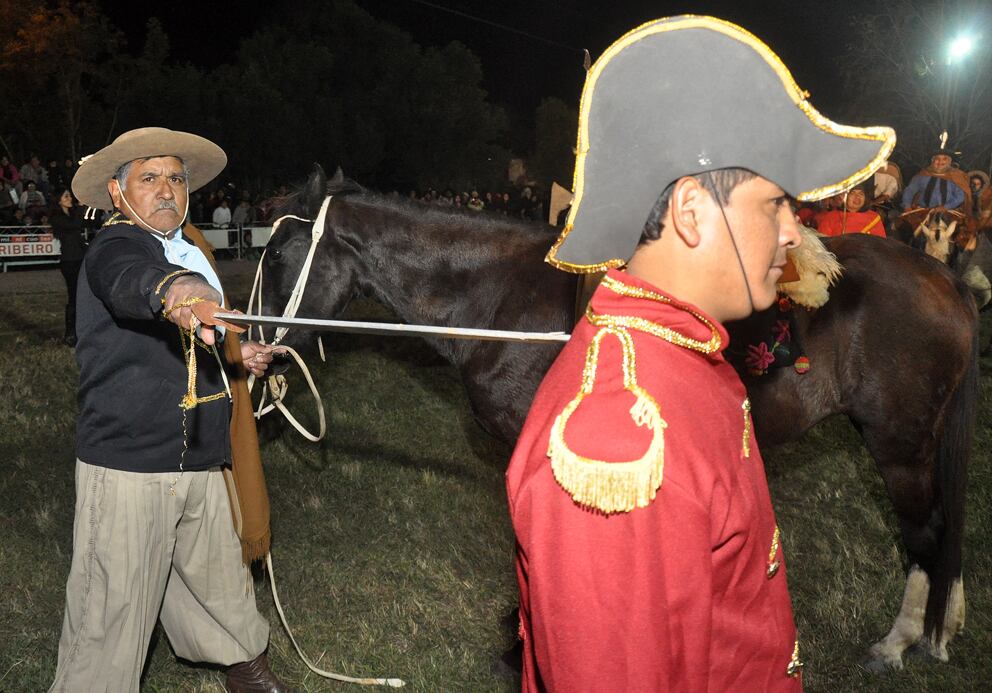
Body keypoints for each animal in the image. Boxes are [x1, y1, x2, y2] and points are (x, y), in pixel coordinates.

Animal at [258, 168, 976, 672]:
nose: (254, 345)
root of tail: (942, 277)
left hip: (898, 442)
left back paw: (899, 641)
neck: (503, 296)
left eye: (279, 258)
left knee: (926, 531)